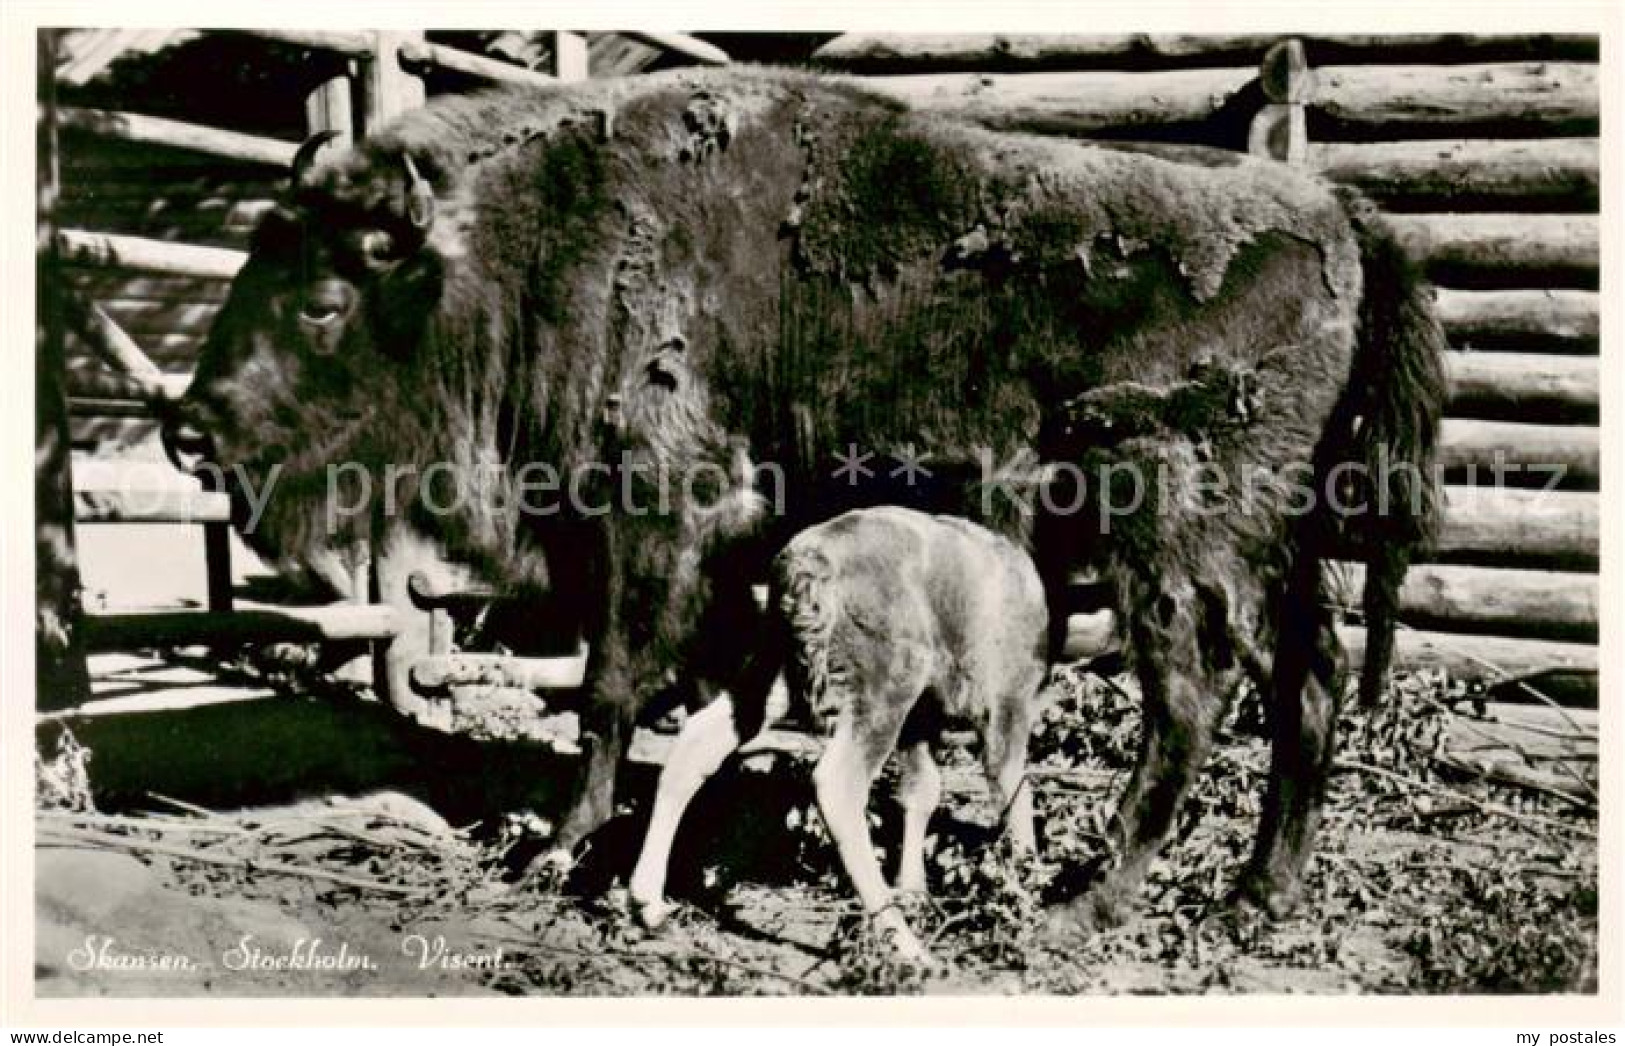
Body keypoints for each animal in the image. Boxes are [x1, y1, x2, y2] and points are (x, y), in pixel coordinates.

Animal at [627, 510, 1046, 961]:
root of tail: (804, 566)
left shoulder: (921, 720)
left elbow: (922, 790)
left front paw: (915, 893)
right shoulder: (1005, 698)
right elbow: (1013, 787)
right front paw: (1025, 897)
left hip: (776, 667)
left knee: (700, 741)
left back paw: (649, 906)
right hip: (884, 684)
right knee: (839, 782)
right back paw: (905, 945)